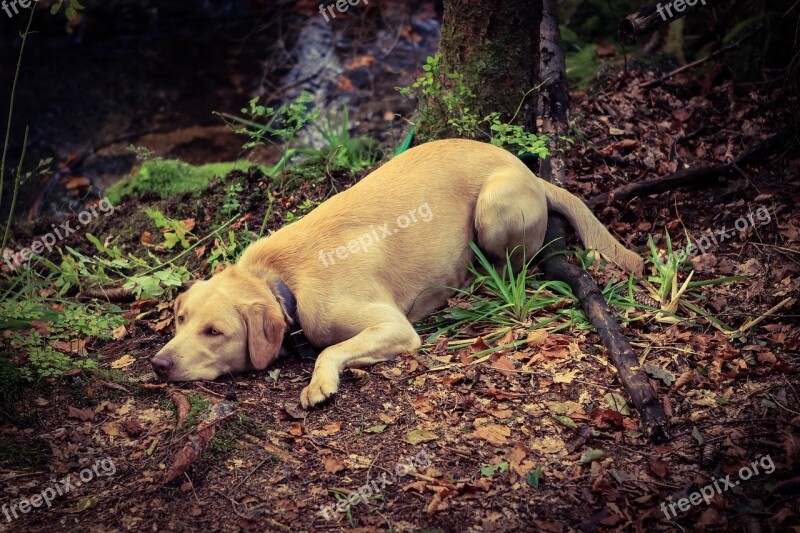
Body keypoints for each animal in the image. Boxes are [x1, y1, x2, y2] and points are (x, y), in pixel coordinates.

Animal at [153, 139, 644, 406]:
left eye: (215, 332)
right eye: (180, 320)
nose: (158, 364)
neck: (281, 282)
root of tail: (528, 170)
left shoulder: (393, 327)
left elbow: (330, 351)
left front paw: (319, 383)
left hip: (493, 209)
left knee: (513, 266)